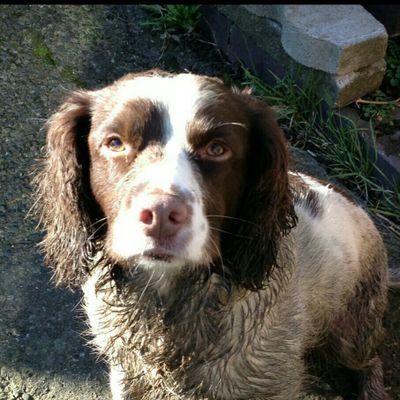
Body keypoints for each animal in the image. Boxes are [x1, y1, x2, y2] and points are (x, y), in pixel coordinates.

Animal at [32, 70, 390, 398]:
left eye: (217, 149)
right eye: (115, 143)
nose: (161, 214)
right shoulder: (127, 371)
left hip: (352, 335)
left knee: (372, 360)